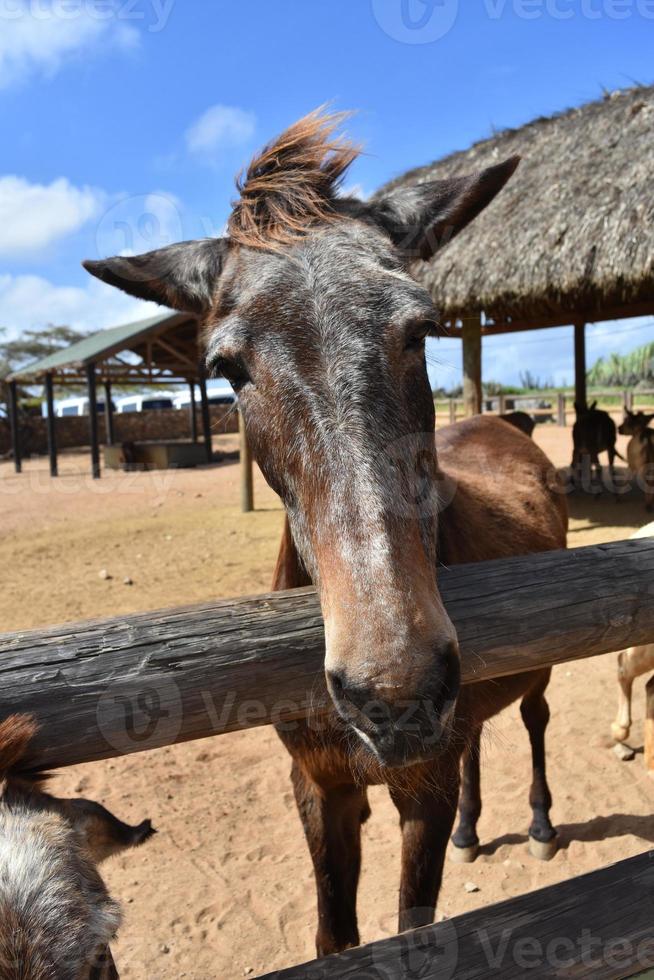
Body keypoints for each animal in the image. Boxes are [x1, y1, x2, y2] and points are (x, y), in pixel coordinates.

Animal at [84, 109, 568, 956]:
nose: (395, 691)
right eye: (228, 367)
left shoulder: (421, 792)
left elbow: (413, 926)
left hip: (534, 672)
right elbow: (332, 935)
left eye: (423, 329)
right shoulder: (320, 788)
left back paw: (539, 824)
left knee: (534, 719)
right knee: (479, 736)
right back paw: (475, 829)